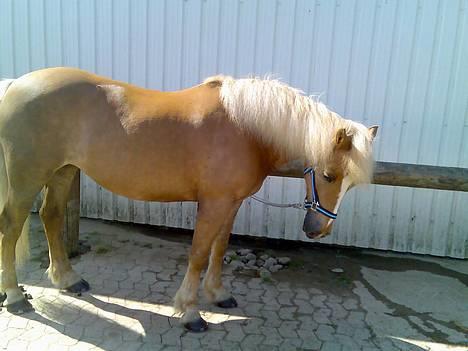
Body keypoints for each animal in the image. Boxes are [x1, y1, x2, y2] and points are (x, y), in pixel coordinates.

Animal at [0, 68, 378, 332]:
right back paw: (16, 297)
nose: (318, 229)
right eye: (328, 175)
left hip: (63, 170)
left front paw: (218, 295)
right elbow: (198, 254)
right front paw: (191, 312)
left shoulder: (231, 203)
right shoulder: (213, 203)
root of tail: (17, 83)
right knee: (12, 226)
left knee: (50, 216)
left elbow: (219, 249)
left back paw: (68, 280)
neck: (244, 127)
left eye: (350, 184)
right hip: (28, 176)